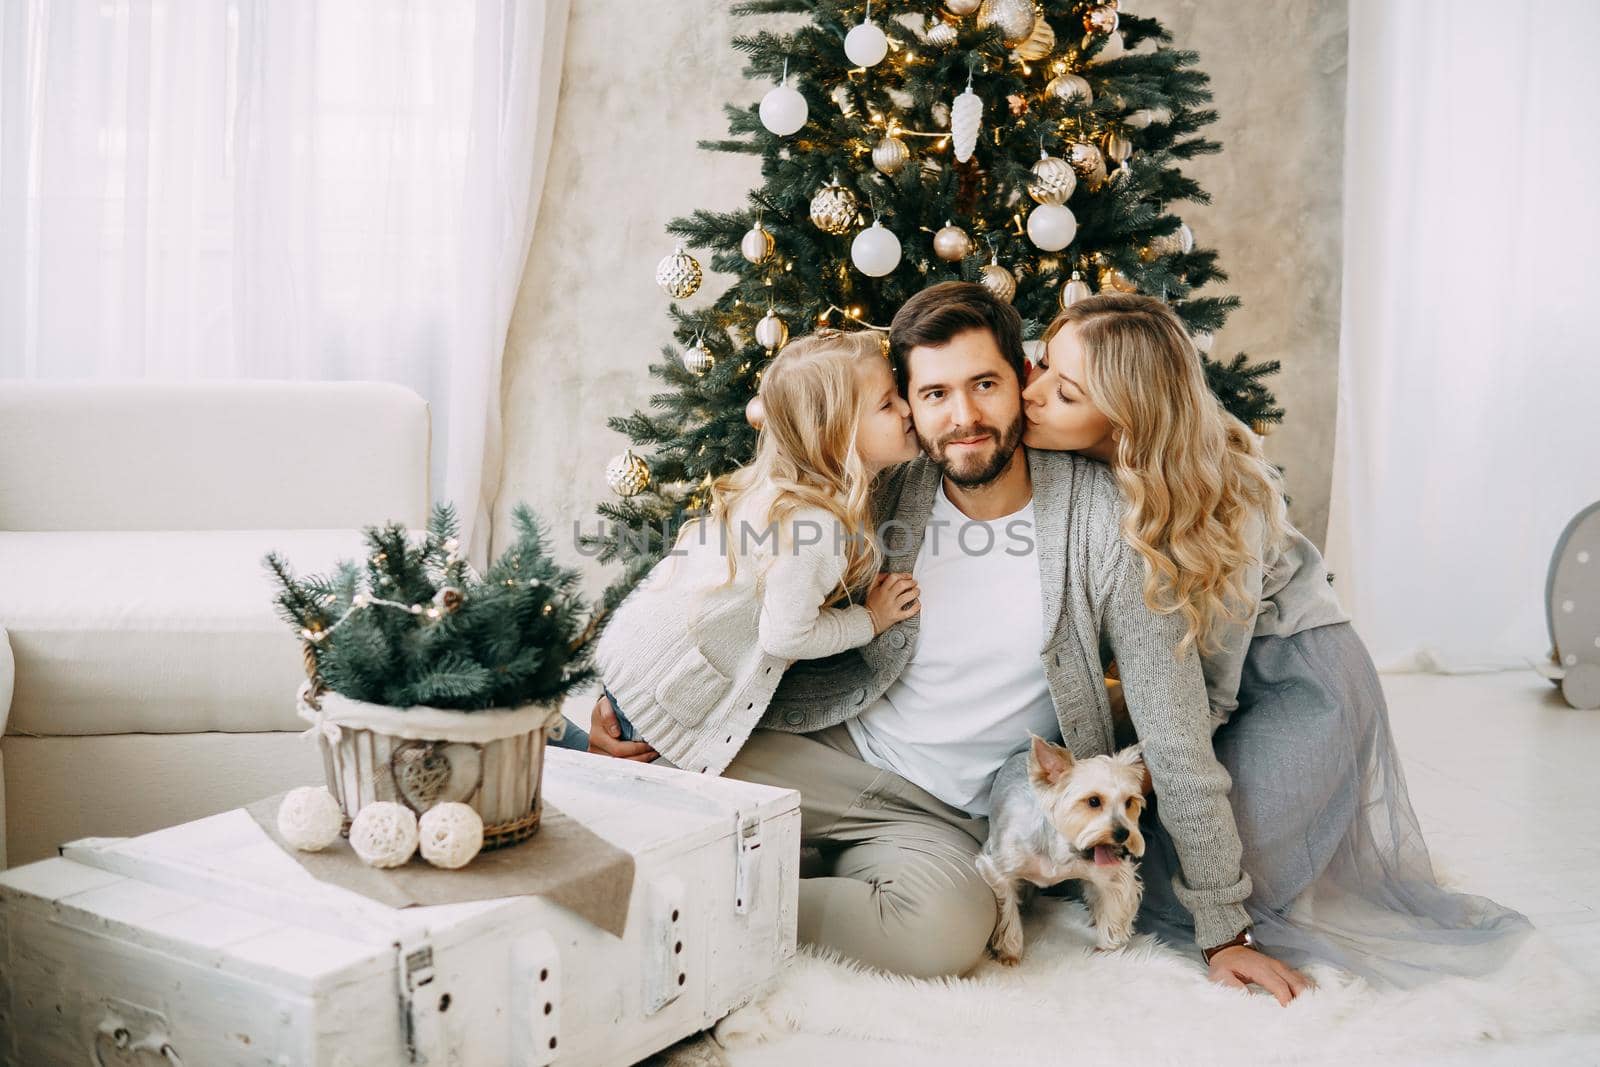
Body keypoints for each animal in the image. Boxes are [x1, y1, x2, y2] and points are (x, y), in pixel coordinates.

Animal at [972, 739, 1152, 966]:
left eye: (1129, 802)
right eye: (1093, 801)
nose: (1122, 833)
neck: (1060, 850)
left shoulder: (1109, 873)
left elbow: (1114, 905)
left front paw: (1107, 948)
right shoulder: (998, 865)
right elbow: (1007, 909)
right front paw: (1009, 952)